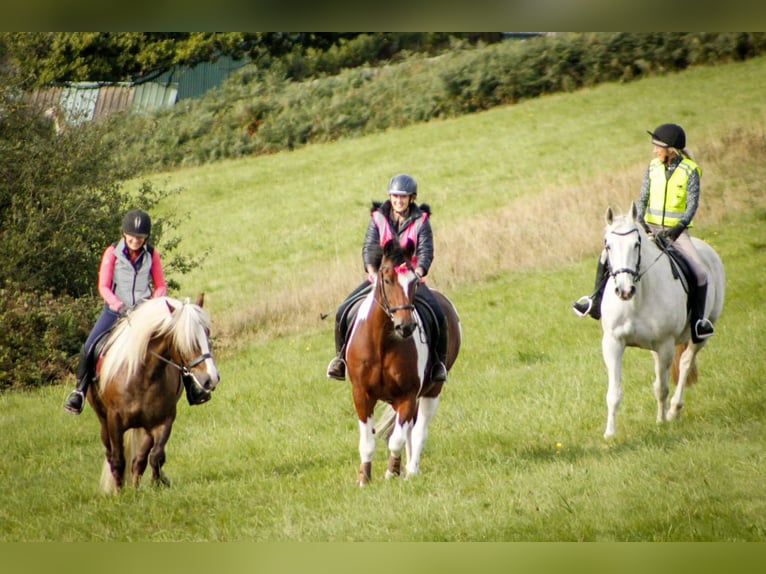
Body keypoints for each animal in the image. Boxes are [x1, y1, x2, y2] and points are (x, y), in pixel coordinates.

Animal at [346, 241, 462, 488]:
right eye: (387, 280)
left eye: (415, 282)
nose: (406, 327)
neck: (383, 342)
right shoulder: (361, 394)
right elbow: (367, 441)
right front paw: (364, 478)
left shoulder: (407, 395)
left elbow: (397, 439)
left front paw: (391, 473)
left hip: (432, 391)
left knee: (418, 431)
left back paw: (411, 470)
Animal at [600, 204, 728, 440]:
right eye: (608, 245)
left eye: (636, 244)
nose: (624, 290)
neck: (637, 298)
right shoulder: (613, 342)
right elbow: (613, 392)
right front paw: (610, 433)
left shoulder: (665, 345)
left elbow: (662, 387)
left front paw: (661, 422)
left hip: (702, 333)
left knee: (686, 362)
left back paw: (674, 410)